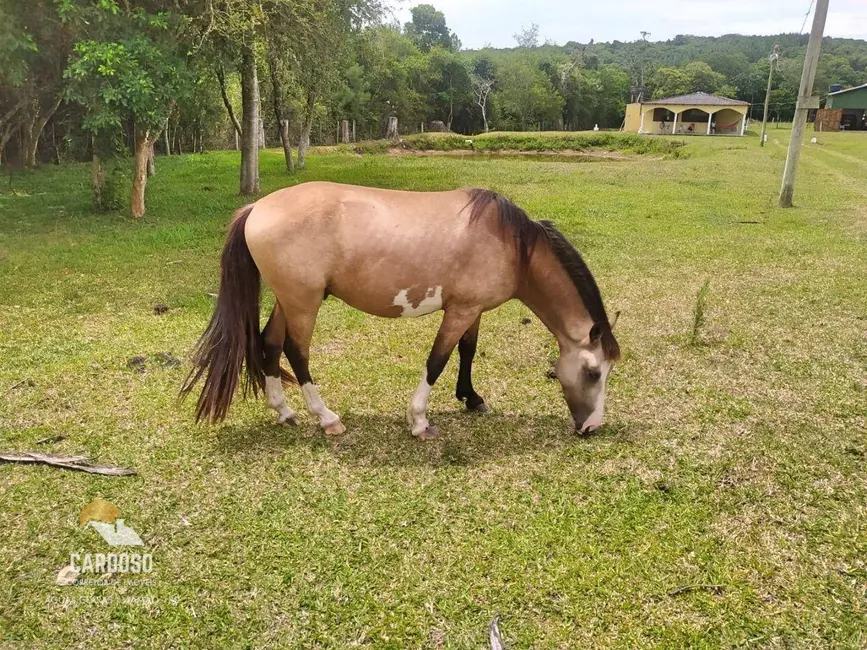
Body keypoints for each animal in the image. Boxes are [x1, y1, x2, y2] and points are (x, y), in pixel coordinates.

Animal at [181, 180, 616, 438]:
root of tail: (255, 208)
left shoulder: (472, 310)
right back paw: (326, 418)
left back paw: (284, 412)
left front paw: (472, 399)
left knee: (270, 345)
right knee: (296, 351)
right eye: (593, 373)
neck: (511, 244)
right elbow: (438, 360)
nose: (592, 426)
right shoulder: (459, 312)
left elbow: (467, 351)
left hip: (289, 300)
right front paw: (419, 419)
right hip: (304, 303)